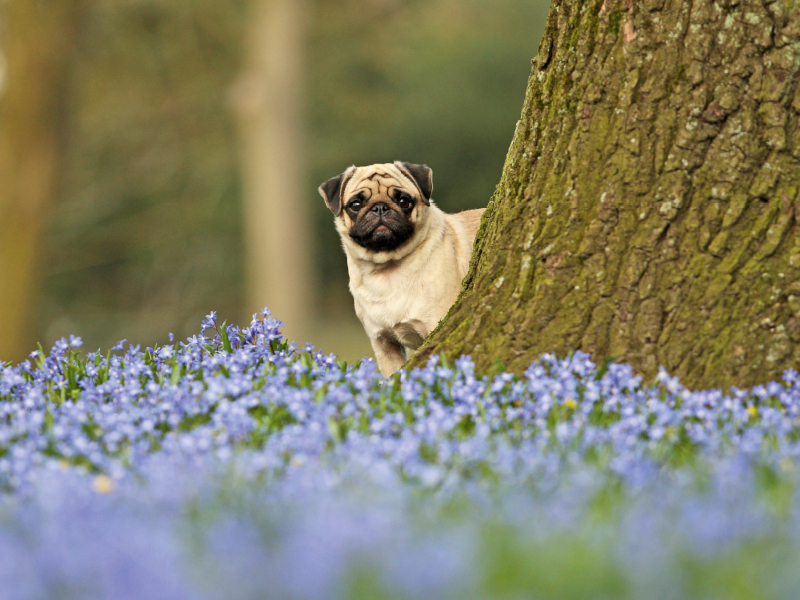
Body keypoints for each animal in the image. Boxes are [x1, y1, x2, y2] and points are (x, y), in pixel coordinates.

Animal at [318, 159, 482, 376]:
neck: (387, 268)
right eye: (356, 204)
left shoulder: (435, 324)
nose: (380, 207)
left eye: (404, 201)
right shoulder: (384, 343)